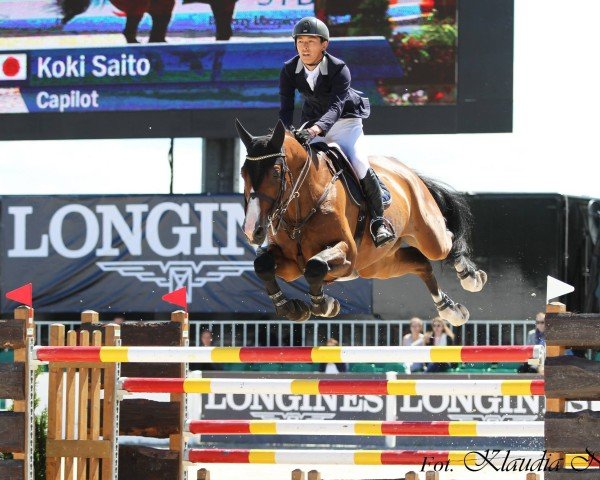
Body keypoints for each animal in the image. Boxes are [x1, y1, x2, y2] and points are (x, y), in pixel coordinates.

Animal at [236, 120, 488, 328]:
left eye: (276, 173)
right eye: (243, 173)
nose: (252, 230)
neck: (301, 207)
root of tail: (407, 172)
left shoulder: (347, 253)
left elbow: (316, 266)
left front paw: (325, 305)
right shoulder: (291, 266)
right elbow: (263, 265)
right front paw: (293, 309)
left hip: (428, 234)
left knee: (446, 240)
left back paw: (471, 278)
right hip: (378, 265)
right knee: (420, 263)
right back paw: (451, 311)